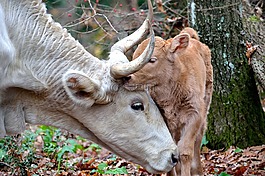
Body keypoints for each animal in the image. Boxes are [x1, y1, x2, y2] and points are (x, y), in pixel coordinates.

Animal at [125, 26, 213, 175]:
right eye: (134, 57)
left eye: (152, 59)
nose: (127, 77)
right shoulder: (163, 117)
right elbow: (170, 150)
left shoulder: (195, 113)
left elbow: (185, 151)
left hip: (206, 103)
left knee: (198, 139)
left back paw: (198, 171)